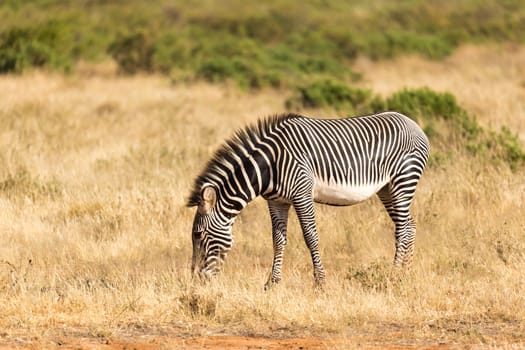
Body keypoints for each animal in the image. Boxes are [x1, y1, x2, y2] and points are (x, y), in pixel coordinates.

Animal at [186, 112, 428, 288]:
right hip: (387, 188)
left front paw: (320, 283)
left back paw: (394, 276)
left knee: (403, 228)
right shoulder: (277, 201)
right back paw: (407, 273)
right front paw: (272, 283)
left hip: (403, 180)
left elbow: (311, 237)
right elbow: (278, 240)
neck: (269, 166)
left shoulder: (301, 194)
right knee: (410, 225)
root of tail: (413, 123)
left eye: (198, 235)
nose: (195, 281)